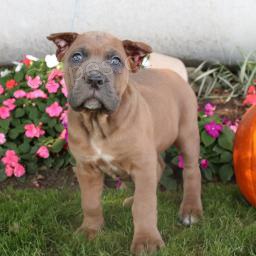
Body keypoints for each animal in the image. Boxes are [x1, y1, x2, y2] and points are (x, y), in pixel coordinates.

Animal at [47, 31, 202, 255]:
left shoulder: (142, 164)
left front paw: (147, 241)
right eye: (76, 57)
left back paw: (190, 209)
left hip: (187, 133)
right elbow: (90, 202)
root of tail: (172, 73)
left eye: (115, 60)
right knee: (159, 166)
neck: (99, 122)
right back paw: (132, 199)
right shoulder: (87, 169)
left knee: (191, 170)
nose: (94, 78)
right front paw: (90, 230)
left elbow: (145, 206)